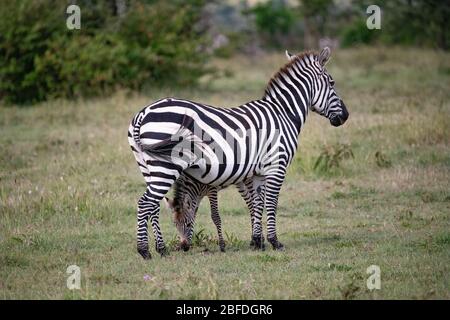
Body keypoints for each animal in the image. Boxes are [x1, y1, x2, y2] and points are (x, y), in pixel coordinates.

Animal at [128, 47, 350, 260]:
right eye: (332, 82)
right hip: (165, 167)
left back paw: (161, 249)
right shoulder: (277, 166)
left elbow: (257, 204)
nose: (346, 116)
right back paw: (144, 251)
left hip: (148, 167)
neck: (283, 114)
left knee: (153, 206)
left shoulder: (257, 172)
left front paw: (257, 242)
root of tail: (143, 113)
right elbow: (271, 203)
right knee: (145, 203)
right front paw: (274, 242)